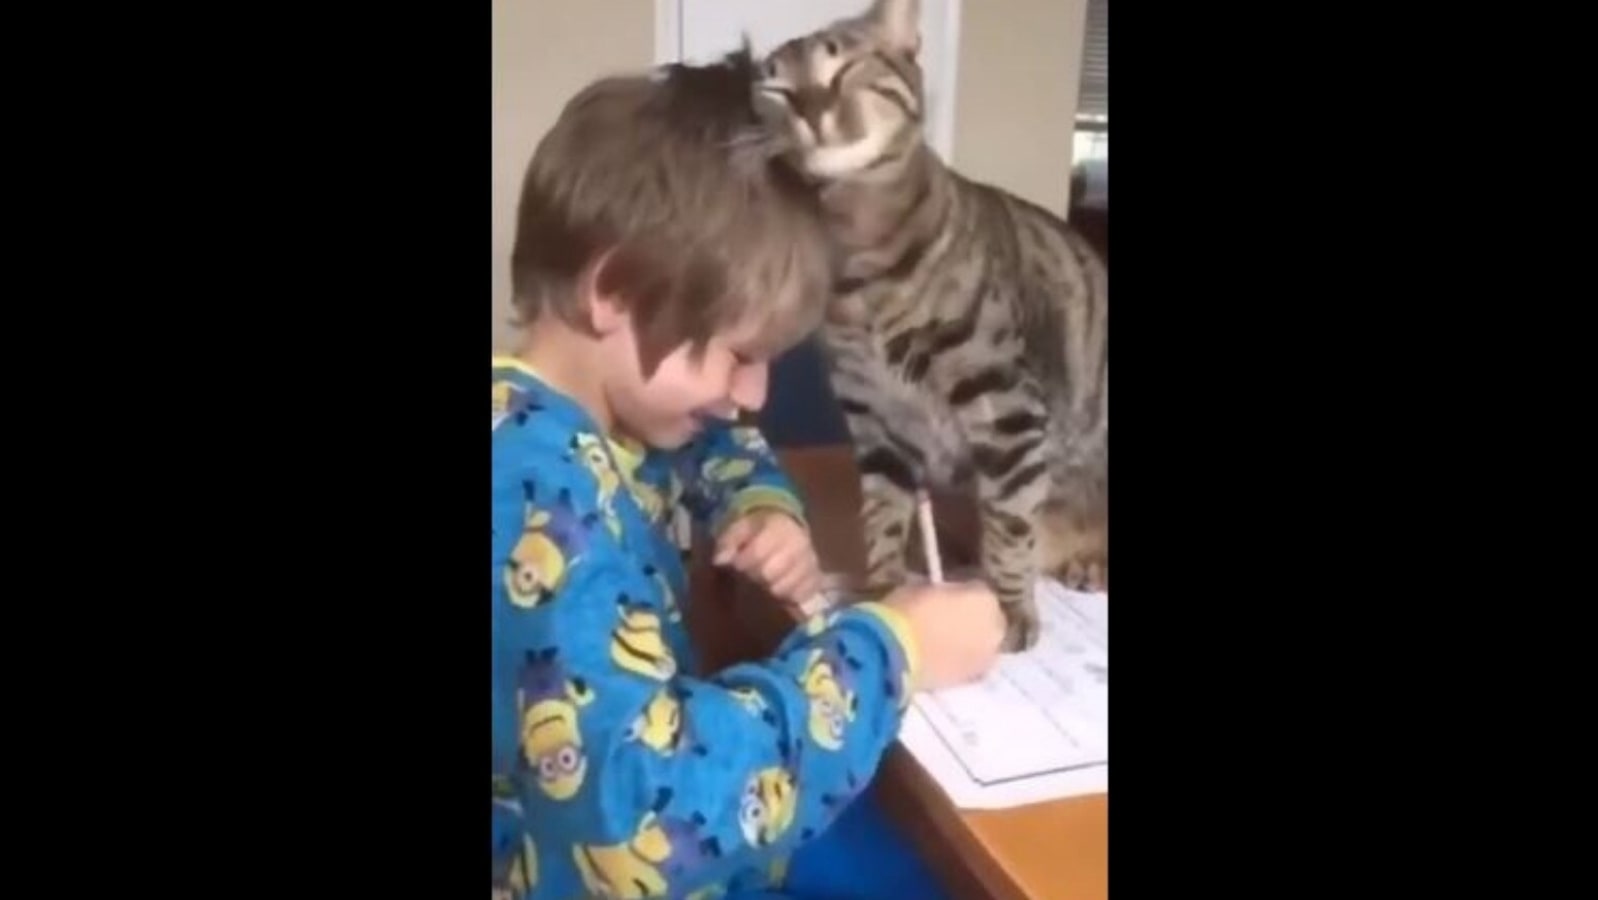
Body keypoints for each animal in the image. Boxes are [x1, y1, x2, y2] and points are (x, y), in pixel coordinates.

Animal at [751, 0, 1105, 652]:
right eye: (778, 89)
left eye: (844, 69)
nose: (810, 110)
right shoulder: (874, 421)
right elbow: (881, 516)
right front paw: (888, 595)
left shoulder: (1005, 409)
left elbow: (1010, 527)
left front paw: (1010, 612)